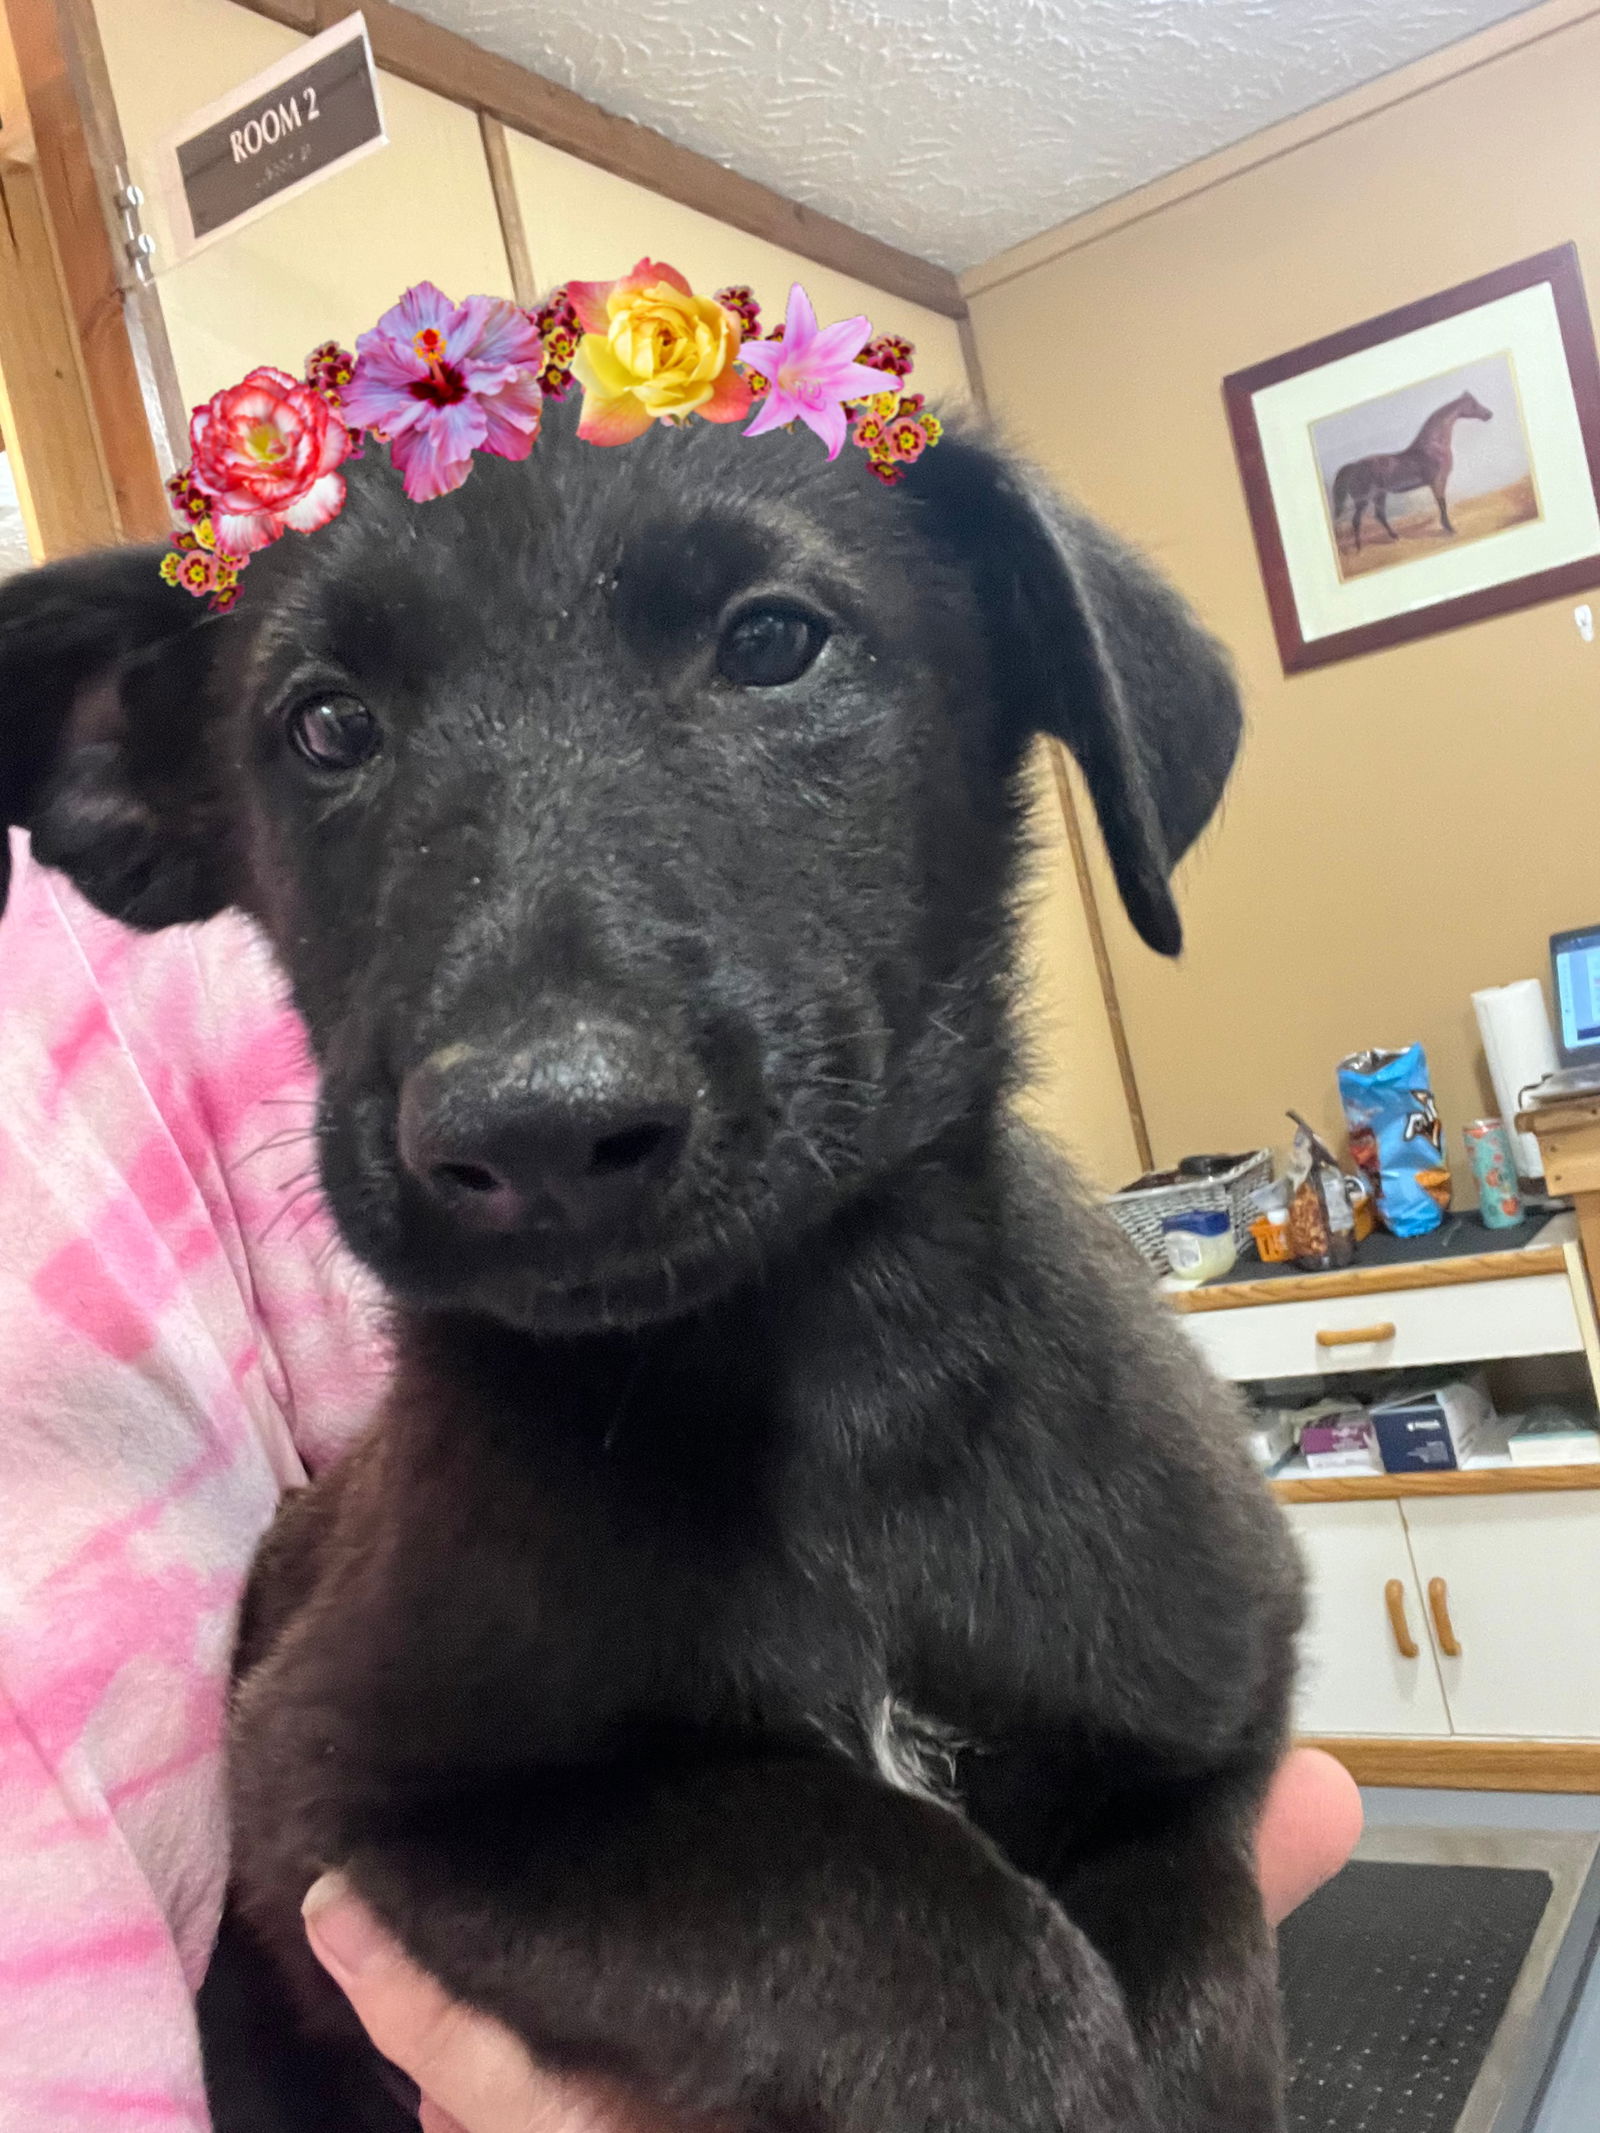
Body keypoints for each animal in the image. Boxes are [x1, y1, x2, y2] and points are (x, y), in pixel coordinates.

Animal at [0, 403, 1305, 2133]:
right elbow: (893, 1900)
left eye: (773, 642)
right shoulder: (348, 1802)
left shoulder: (1205, 1723)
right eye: (326, 725)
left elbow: (1197, 1980)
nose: (537, 1130)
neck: (826, 1392)